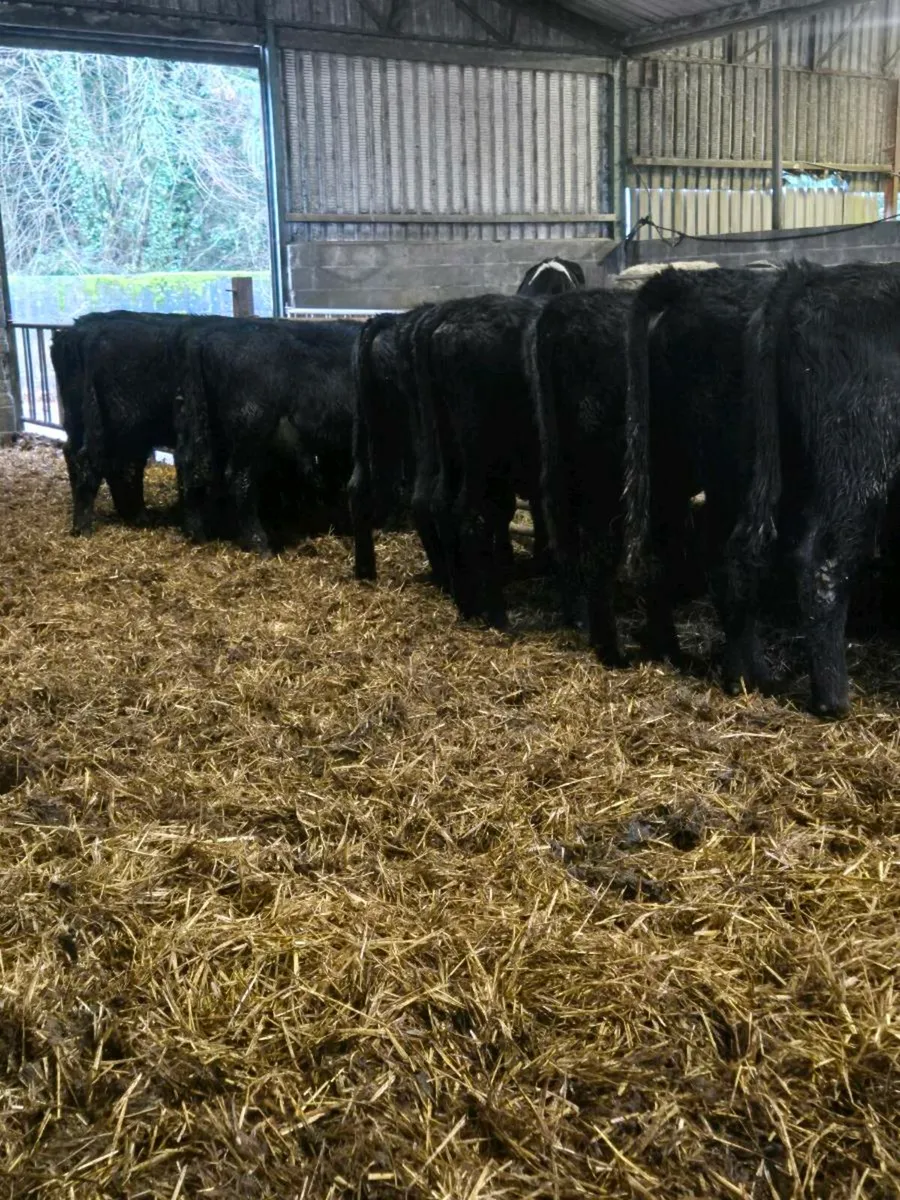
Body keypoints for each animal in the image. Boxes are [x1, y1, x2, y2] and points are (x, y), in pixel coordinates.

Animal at [411, 293, 546, 627]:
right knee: (471, 518)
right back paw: (495, 612)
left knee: (435, 503)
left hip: (443, 443)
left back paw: (462, 597)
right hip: (476, 455)